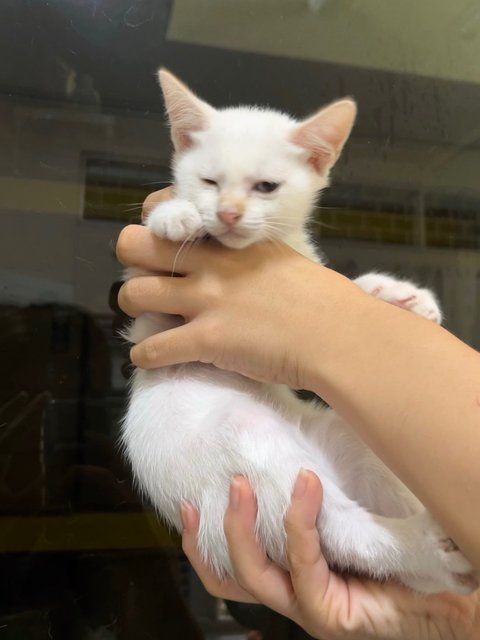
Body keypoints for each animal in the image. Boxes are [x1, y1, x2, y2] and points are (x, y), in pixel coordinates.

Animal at [123, 70, 476, 596]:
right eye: (209, 181)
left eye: (266, 186)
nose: (227, 214)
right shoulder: (150, 328)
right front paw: (175, 215)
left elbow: (338, 286)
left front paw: (396, 294)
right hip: (251, 447)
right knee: (340, 530)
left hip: (342, 442)